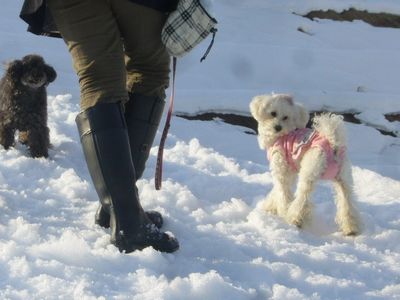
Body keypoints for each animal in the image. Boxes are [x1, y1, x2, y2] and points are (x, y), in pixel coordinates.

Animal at [250, 92, 360, 236]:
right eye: (273, 113)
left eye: (285, 117)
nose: (277, 127)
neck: (280, 136)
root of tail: (332, 143)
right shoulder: (290, 173)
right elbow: (277, 192)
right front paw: (269, 207)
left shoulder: (281, 169)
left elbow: (282, 192)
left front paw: (281, 211)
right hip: (343, 177)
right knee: (347, 201)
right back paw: (351, 228)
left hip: (310, 171)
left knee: (303, 197)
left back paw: (294, 219)